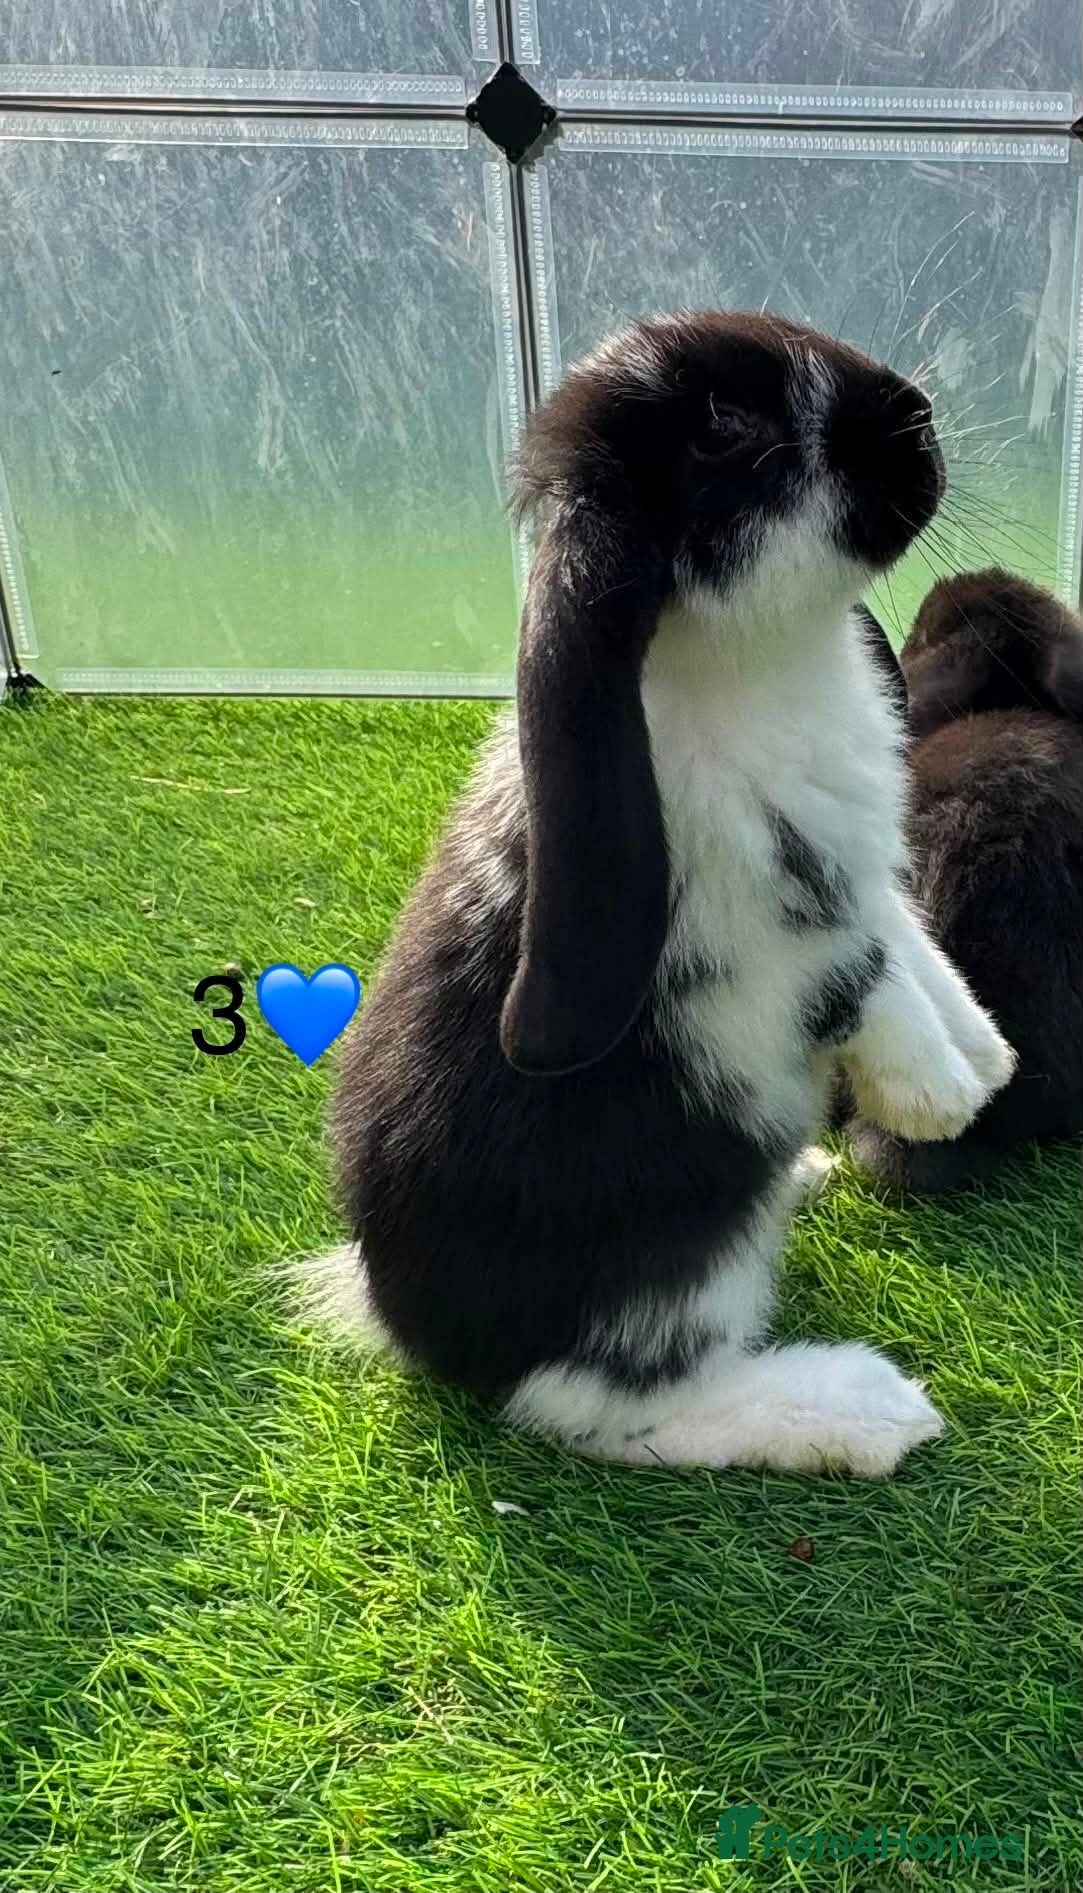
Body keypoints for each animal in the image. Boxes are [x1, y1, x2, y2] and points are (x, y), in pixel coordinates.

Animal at [301, 311, 1015, 1479]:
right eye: (724, 429)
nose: (915, 415)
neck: (756, 667)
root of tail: (414, 1328)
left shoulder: (865, 867)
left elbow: (912, 943)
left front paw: (983, 1058)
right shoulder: (776, 921)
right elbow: (865, 977)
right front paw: (937, 1098)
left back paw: (809, 1181)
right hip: (682, 1248)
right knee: (599, 1404)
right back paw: (859, 1410)